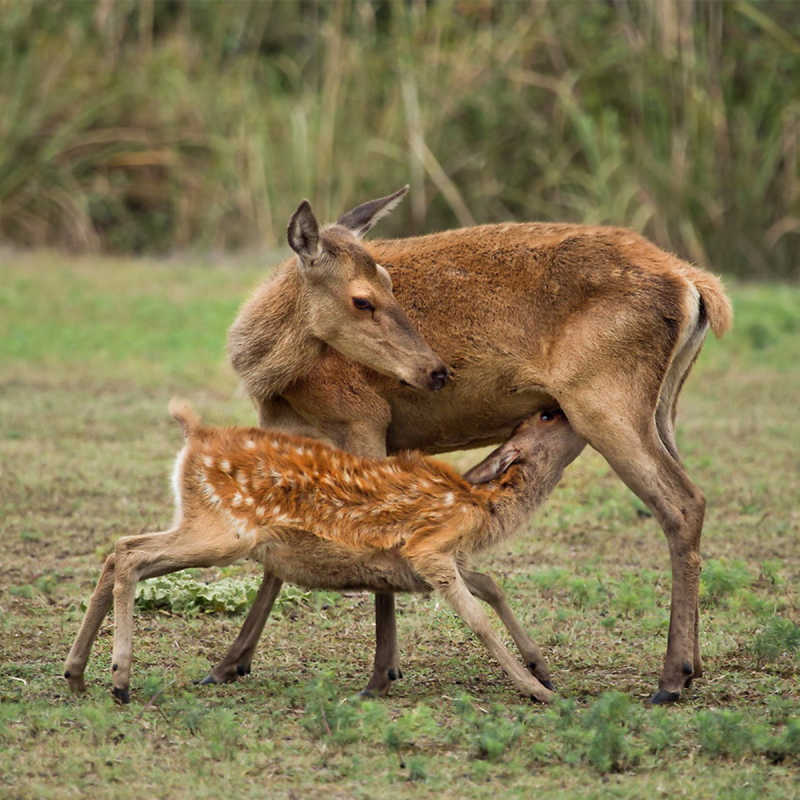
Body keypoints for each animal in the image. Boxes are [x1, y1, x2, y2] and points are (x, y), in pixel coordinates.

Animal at [217, 188, 732, 700]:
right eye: (363, 299)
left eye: (387, 281)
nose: (436, 371)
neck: (274, 383)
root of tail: (695, 285)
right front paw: (229, 663)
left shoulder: (362, 420)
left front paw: (381, 674)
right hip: (663, 407)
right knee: (691, 499)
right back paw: (693, 665)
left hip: (604, 401)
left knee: (681, 502)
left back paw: (669, 678)